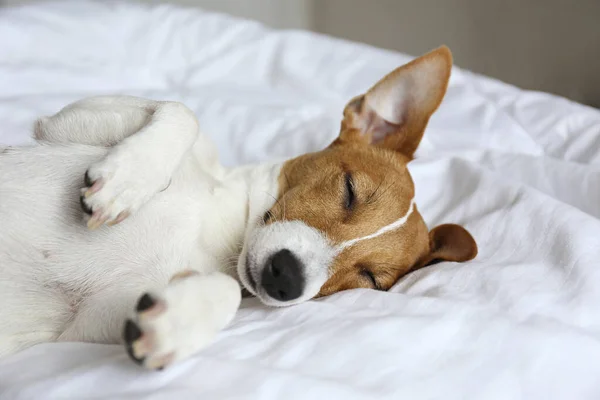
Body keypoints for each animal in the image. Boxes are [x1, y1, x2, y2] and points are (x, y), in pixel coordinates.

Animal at [0, 46, 478, 368]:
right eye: (349, 190)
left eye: (371, 279)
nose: (286, 278)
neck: (225, 231)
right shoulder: (65, 124)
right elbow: (183, 112)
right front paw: (127, 180)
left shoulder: (87, 321)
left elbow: (226, 293)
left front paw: (175, 324)